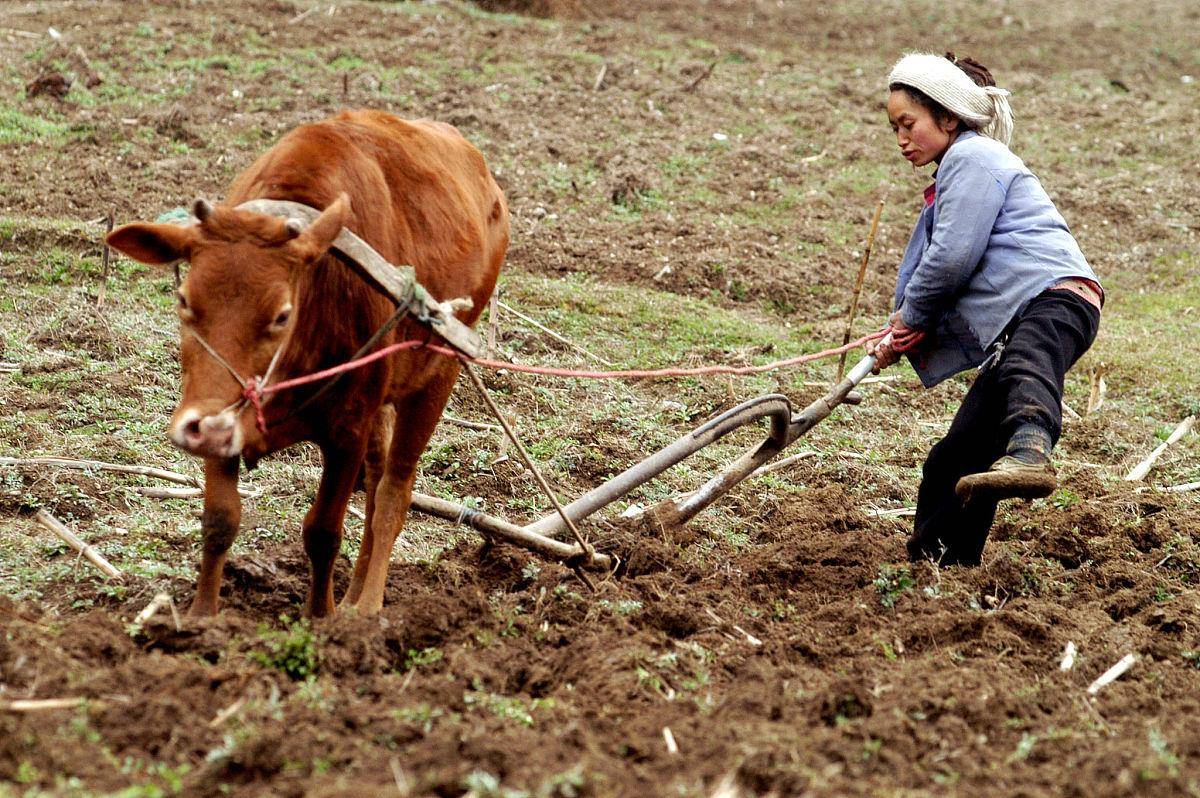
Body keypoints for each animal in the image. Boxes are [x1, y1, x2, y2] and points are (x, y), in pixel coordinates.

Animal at [104, 109, 511, 612]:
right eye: (183, 298)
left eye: (282, 314)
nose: (206, 427)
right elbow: (219, 521)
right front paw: (202, 618)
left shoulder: (347, 433)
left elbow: (323, 532)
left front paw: (322, 618)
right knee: (376, 485)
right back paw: (353, 597)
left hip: (439, 374)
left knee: (393, 493)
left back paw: (366, 607)